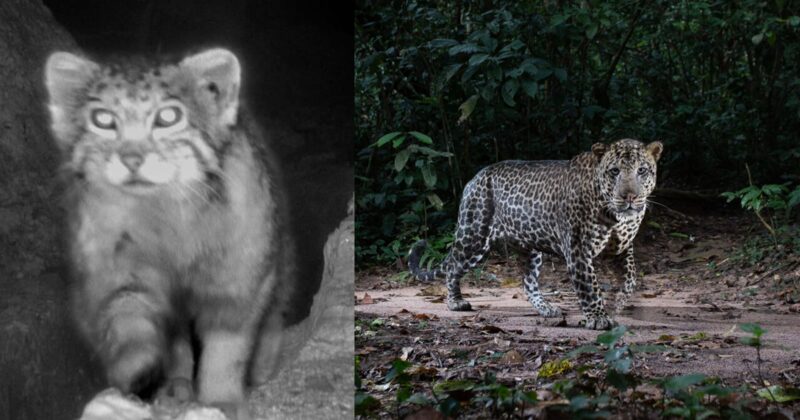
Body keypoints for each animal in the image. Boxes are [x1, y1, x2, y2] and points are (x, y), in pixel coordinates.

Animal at [44, 48, 296, 418]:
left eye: (168, 116)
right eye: (103, 119)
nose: (132, 158)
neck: (164, 217)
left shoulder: (239, 278)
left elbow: (227, 348)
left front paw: (221, 399)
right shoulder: (116, 270)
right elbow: (127, 316)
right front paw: (135, 367)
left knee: (276, 310)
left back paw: (262, 364)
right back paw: (175, 385)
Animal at [409, 139, 663, 330]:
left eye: (642, 171)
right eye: (614, 171)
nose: (630, 197)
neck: (616, 216)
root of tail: (476, 177)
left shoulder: (622, 248)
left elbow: (630, 280)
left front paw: (615, 306)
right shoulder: (578, 250)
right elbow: (589, 286)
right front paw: (598, 318)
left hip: (531, 249)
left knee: (528, 282)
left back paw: (547, 308)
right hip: (474, 236)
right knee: (453, 266)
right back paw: (456, 302)